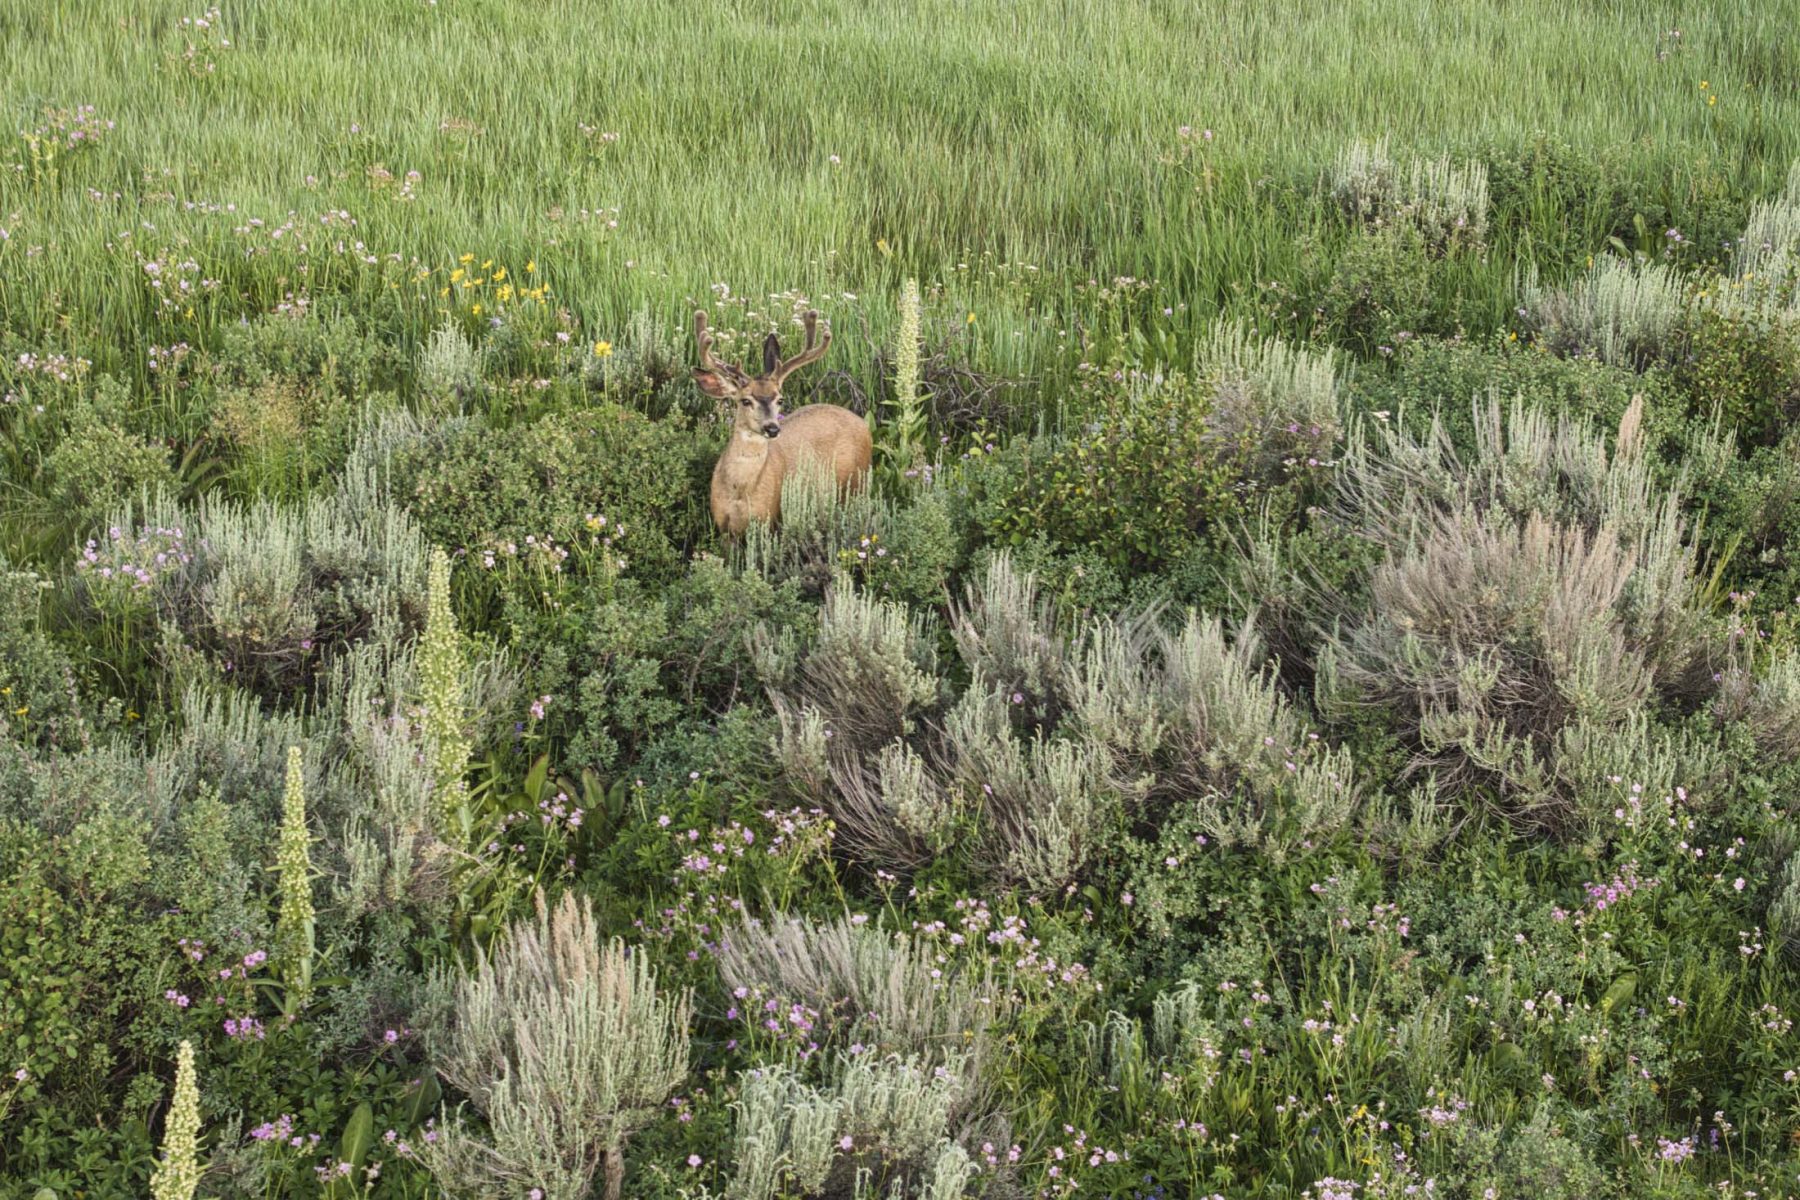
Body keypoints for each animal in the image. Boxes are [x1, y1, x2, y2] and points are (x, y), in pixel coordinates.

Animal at [693, 308, 872, 536]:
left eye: (780, 399)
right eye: (745, 400)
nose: (772, 428)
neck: (739, 491)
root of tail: (862, 423)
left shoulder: (769, 519)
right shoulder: (723, 526)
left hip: (858, 483)